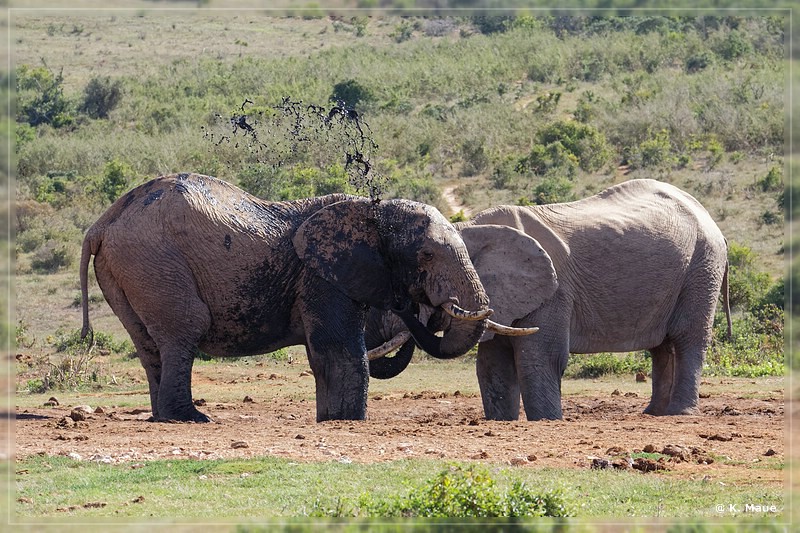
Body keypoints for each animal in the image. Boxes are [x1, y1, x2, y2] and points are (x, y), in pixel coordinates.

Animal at [79, 172, 532, 422]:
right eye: (426, 255)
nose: (434, 307)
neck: (372, 210)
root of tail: (102, 223)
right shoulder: (321, 276)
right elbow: (340, 350)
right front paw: (348, 422)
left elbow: (323, 357)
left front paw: (329, 419)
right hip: (154, 261)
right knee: (184, 329)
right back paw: (191, 419)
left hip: (128, 269)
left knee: (148, 344)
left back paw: (163, 417)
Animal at [368, 179, 732, 420]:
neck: (469, 228)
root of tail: (705, 213)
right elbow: (492, 365)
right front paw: (502, 421)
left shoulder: (554, 293)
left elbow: (540, 357)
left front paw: (546, 420)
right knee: (661, 347)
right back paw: (653, 413)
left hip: (703, 266)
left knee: (687, 339)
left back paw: (679, 414)